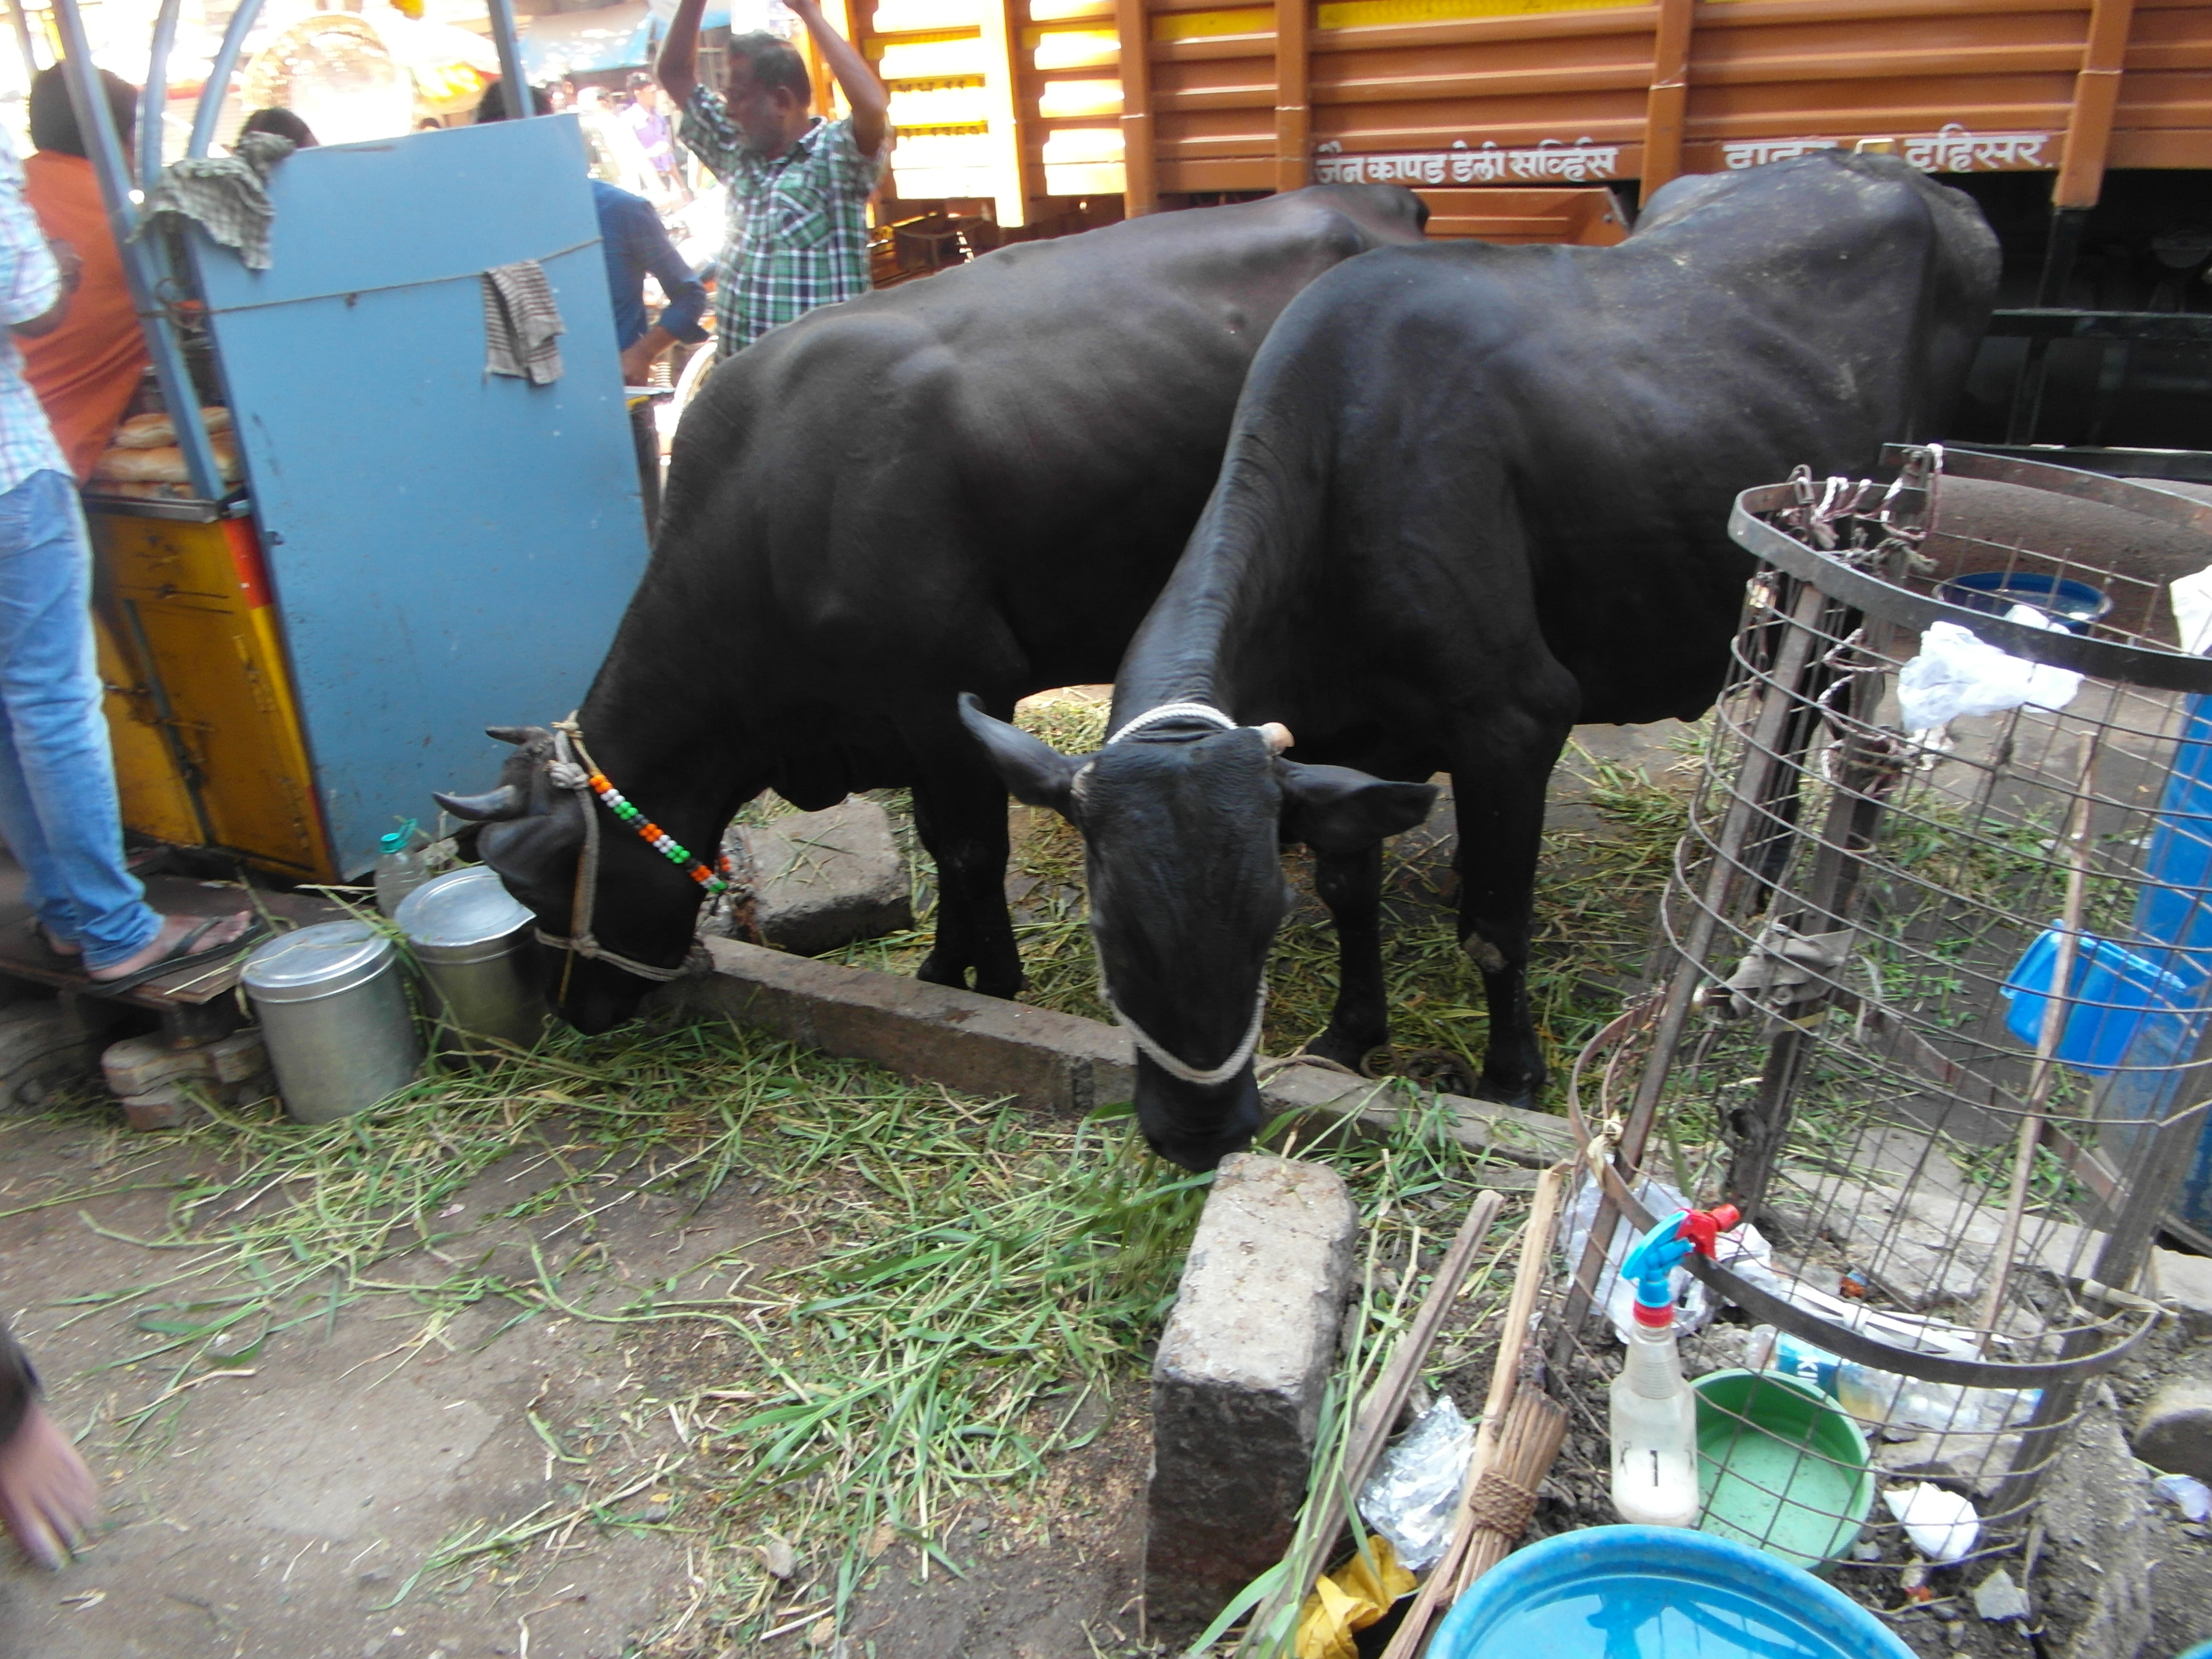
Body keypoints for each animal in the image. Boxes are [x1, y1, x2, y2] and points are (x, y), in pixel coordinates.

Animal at [434, 185, 1428, 1034]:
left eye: (540, 880)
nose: (572, 1013)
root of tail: (1370, 198)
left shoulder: (948, 692)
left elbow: (968, 850)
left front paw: (991, 982)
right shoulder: (901, 718)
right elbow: (934, 839)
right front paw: (946, 968)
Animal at [960, 152, 2000, 1171]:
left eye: (1264, 919)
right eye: (1107, 931)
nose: (1200, 1136)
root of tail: (1917, 183)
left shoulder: (1515, 717)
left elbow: (1495, 930)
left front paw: (1510, 1077)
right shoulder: (1341, 744)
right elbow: (1351, 892)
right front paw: (1348, 1035)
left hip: (1868, 577)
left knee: (1832, 718)